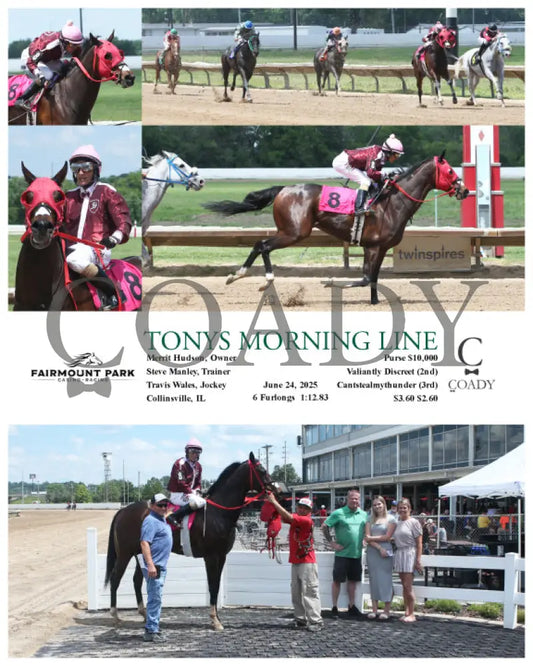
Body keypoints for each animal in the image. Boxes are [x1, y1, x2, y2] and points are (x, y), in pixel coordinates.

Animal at [104, 452, 277, 631]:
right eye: (261, 470)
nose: (275, 488)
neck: (218, 512)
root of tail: (123, 510)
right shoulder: (211, 557)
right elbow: (212, 585)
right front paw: (214, 620)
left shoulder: (222, 556)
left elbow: (216, 586)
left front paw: (218, 619)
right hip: (125, 554)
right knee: (115, 578)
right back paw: (115, 616)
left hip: (142, 553)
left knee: (137, 580)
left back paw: (144, 614)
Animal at [203, 153, 469, 305]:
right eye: (450, 171)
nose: (464, 190)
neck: (393, 202)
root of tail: (283, 189)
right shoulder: (373, 246)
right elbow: (364, 278)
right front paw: (332, 283)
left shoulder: (379, 248)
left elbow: (373, 278)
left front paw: (375, 302)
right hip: (294, 232)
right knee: (263, 245)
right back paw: (259, 279)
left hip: (290, 232)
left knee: (260, 245)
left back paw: (238, 275)